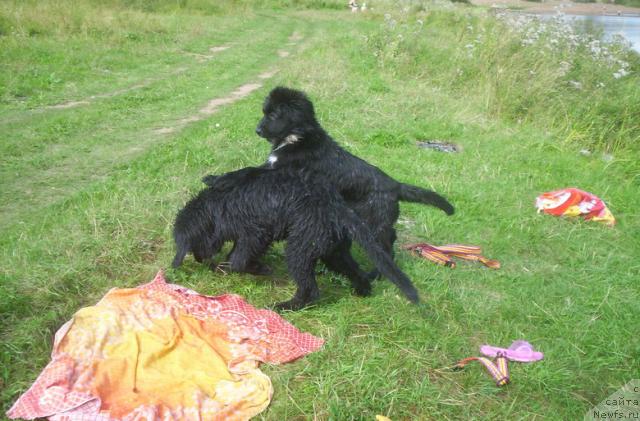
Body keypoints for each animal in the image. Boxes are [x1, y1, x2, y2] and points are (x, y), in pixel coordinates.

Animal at [172, 167, 420, 308]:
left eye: (193, 247)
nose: (199, 260)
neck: (213, 209)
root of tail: (336, 206)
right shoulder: (254, 237)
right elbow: (237, 256)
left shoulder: (254, 233)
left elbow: (237, 260)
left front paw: (256, 268)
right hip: (333, 252)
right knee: (356, 272)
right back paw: (362, 292)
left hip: (299, 250)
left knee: (311, 291)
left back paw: (287, 306)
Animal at [248, 88, 452, 270]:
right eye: (264, 112)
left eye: (274, 115)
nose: (257, 130)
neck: (297, 137)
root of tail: (395, 185)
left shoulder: (280, 169)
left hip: (374, 224)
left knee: (386, 251)